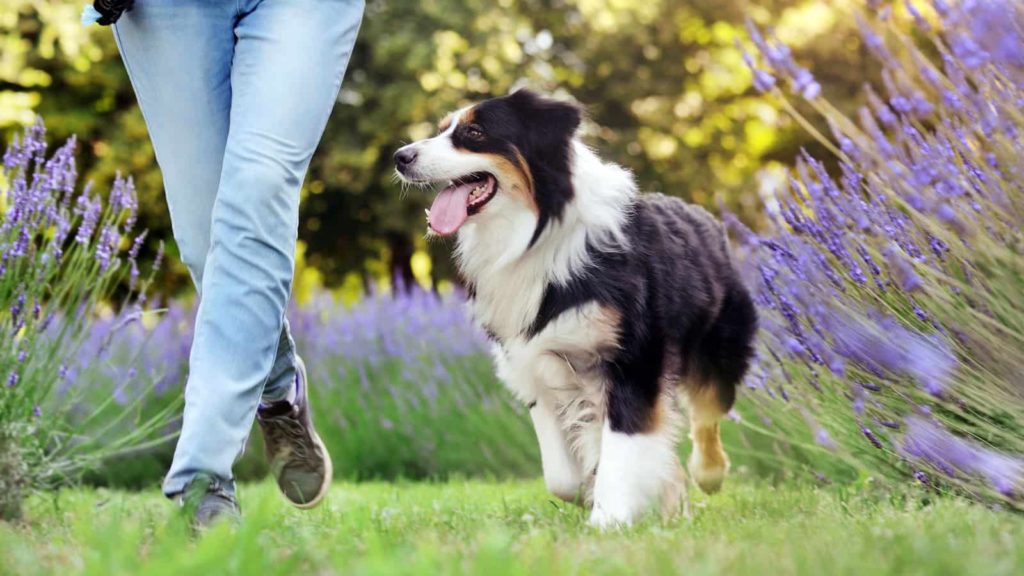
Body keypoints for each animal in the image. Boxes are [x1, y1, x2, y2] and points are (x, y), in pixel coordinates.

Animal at [395, 89, 757, 524]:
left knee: (707, 414)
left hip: (718, 351)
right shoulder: (532, 362)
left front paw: (609, 519)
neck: (538, 233)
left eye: (475, 132)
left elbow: (623, 443)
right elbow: (561, 476)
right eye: (442, 129)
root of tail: (701, 213)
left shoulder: (635, 358)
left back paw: (708, 475)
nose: (400, 156)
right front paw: (599, 494)